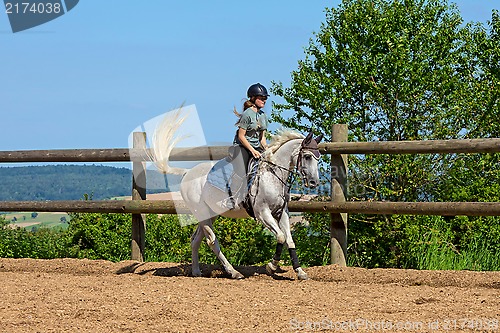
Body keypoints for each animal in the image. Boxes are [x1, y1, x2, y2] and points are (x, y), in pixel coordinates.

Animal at [148, 110, 322, 278]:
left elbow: (290, 240)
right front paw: (271, 267)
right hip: (202, 213)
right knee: (212, 241)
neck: (272, 174)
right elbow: (281, 236)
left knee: (195, 240)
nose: (314, 182)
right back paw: (233, 272)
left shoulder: (282, 212)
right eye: (307, 156)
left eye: (318, 159)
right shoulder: (263, 213)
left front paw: (300, 271)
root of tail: (186, 173)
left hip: (210, 213)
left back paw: (196, 272)